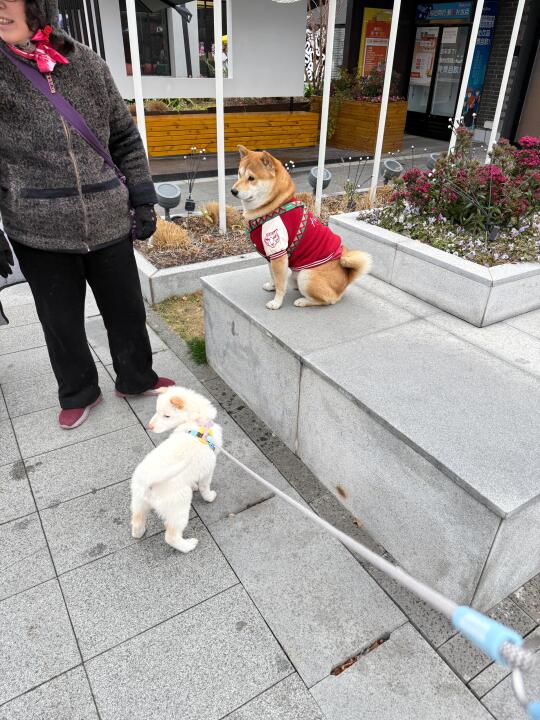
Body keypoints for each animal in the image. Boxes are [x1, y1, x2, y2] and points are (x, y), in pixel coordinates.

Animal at [129, 388, 221, 552]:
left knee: (137, 521)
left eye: (166, 415)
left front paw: (194, 486)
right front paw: (209, 497)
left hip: (138, 501)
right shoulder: (208, 469)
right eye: (157, 411)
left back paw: (139, 533)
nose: (149, 427)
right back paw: (188, 545)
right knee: (171, 536)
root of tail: (149, 481)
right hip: (179, 507)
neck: (196, 424)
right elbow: (205, 487)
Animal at [232, 146, 372, 310]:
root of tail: (346, 278)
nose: (233, 191)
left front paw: (276, 302)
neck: (274, 206)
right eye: (239, 174)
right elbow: (274, 277)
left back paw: (303, 301)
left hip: (306, 275)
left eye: (251, 178)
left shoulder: (278, 253)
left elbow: (280, 284)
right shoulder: (271, 256)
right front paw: (272, 286)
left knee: (327, 300)